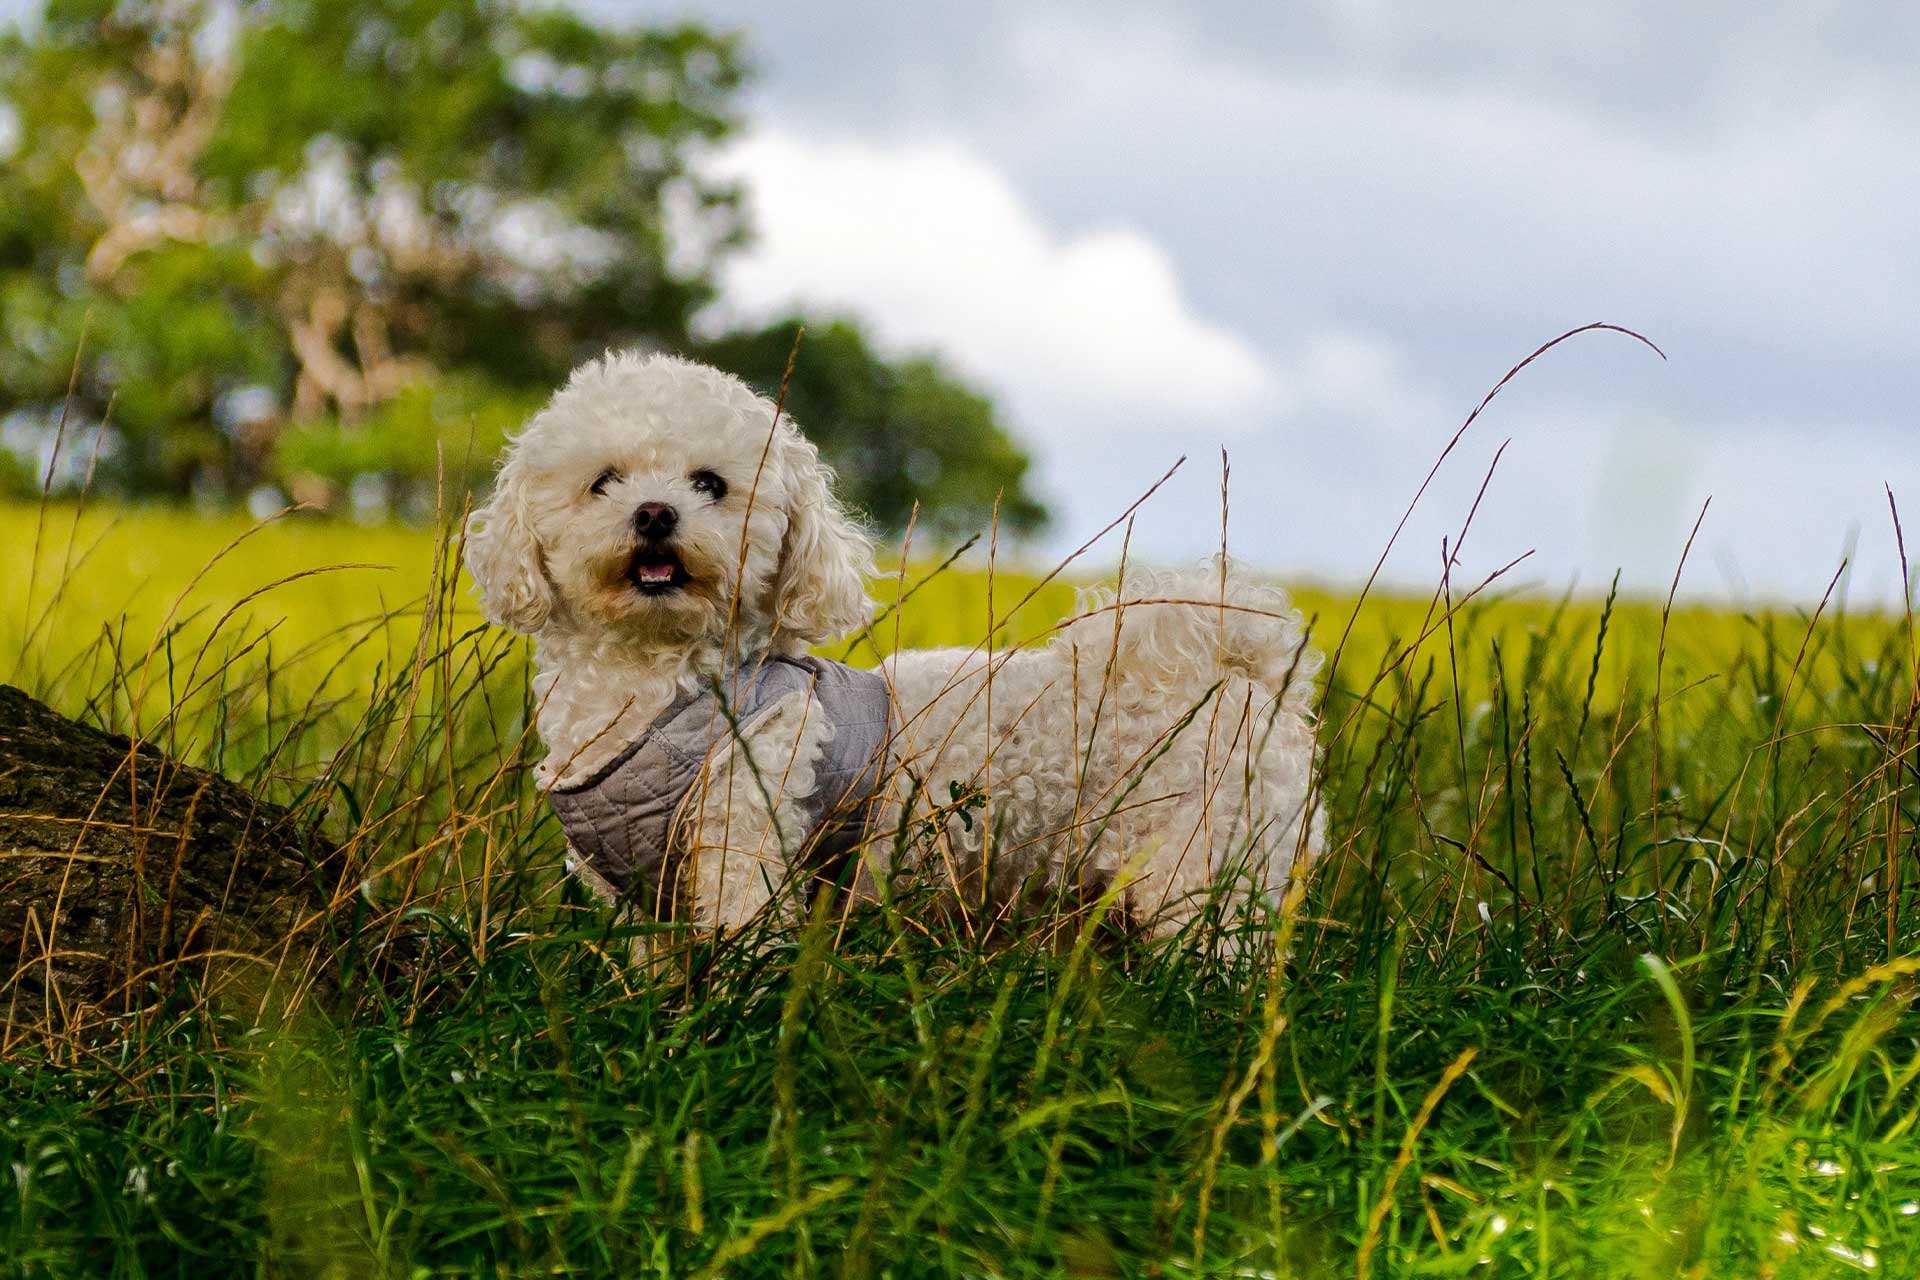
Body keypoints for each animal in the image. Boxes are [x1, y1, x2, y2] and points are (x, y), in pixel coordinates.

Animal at [472, 351, 1328, 940]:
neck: (658, 684)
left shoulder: (747, 838)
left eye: (710, 484)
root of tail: (1247, 674)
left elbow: (740, 945)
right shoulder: (640, 892)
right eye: (603, 482)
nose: (654, 513)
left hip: (1210, 874)